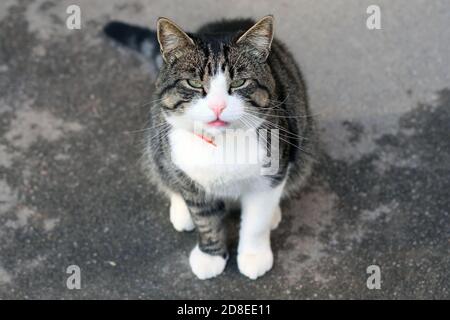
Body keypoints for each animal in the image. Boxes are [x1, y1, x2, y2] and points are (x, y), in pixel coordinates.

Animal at [103, 15, 314, 280]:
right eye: (193, 83)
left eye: (239, 82)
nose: (217, 106)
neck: (220, 142)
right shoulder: (189, 177)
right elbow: (205, 219)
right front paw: (210, 256)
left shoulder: (270, 174)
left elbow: (256, 223)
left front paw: (253, 256)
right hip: (157, 143)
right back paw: (181, 211)